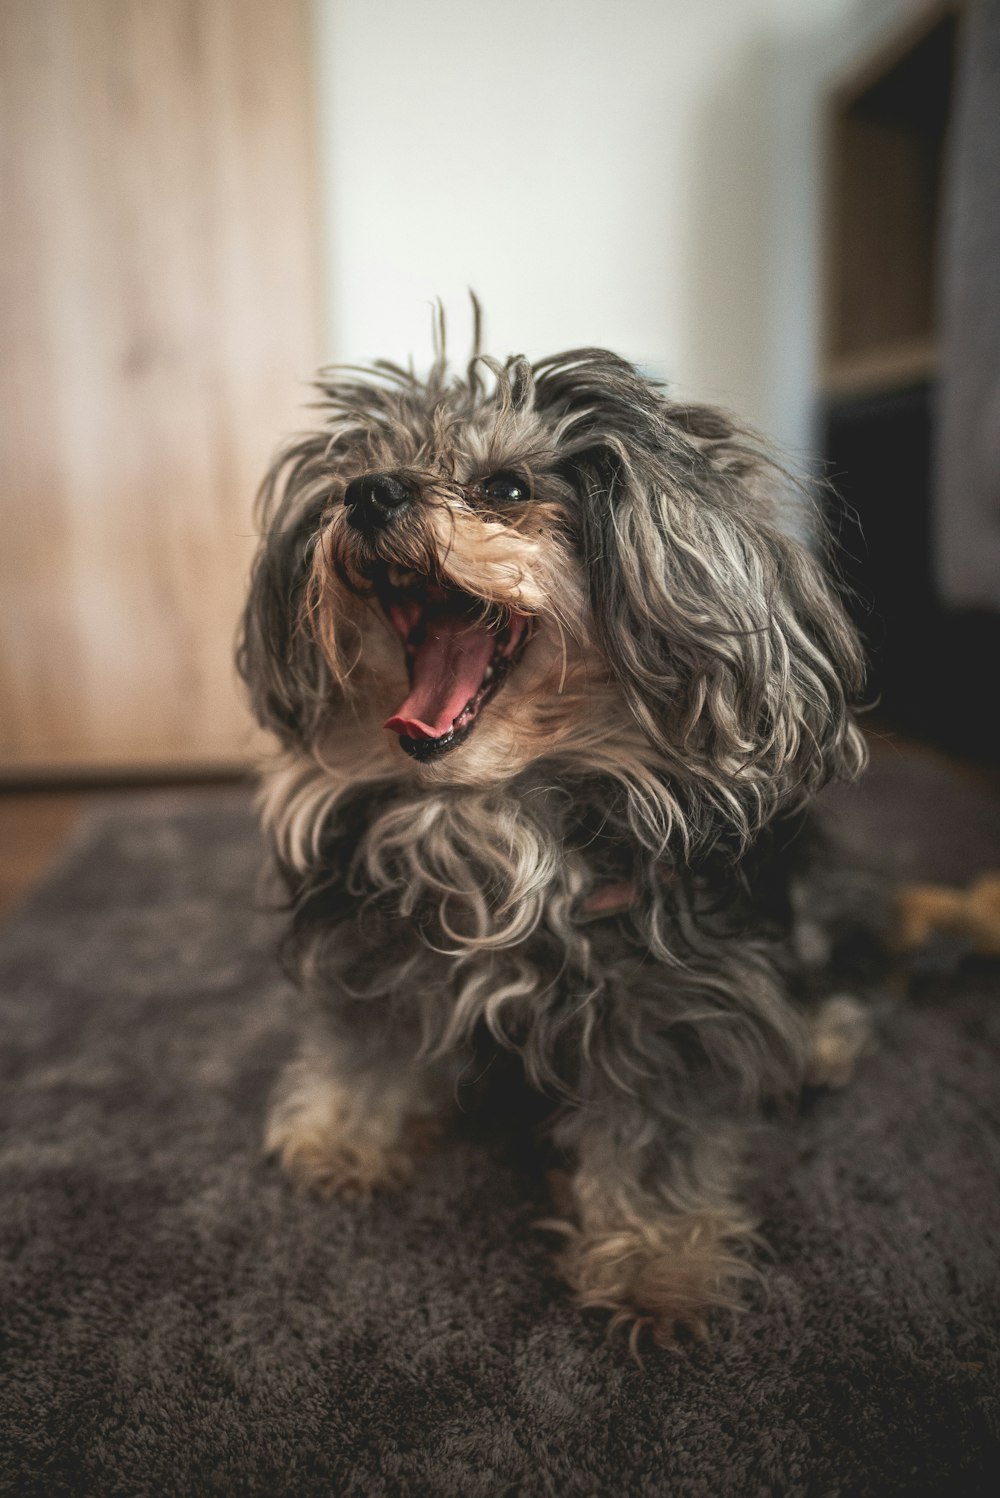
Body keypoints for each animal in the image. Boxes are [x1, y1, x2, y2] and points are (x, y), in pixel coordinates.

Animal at [239, 310, 880, 1354]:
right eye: (357, 473)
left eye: (506, 488)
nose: (367, 494)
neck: (487, 813)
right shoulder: (370, 944)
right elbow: (367, 1044)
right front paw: (342, 1135)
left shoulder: (669, 1005)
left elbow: (657, 1142)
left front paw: (659, 1271)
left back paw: (818, 1042)